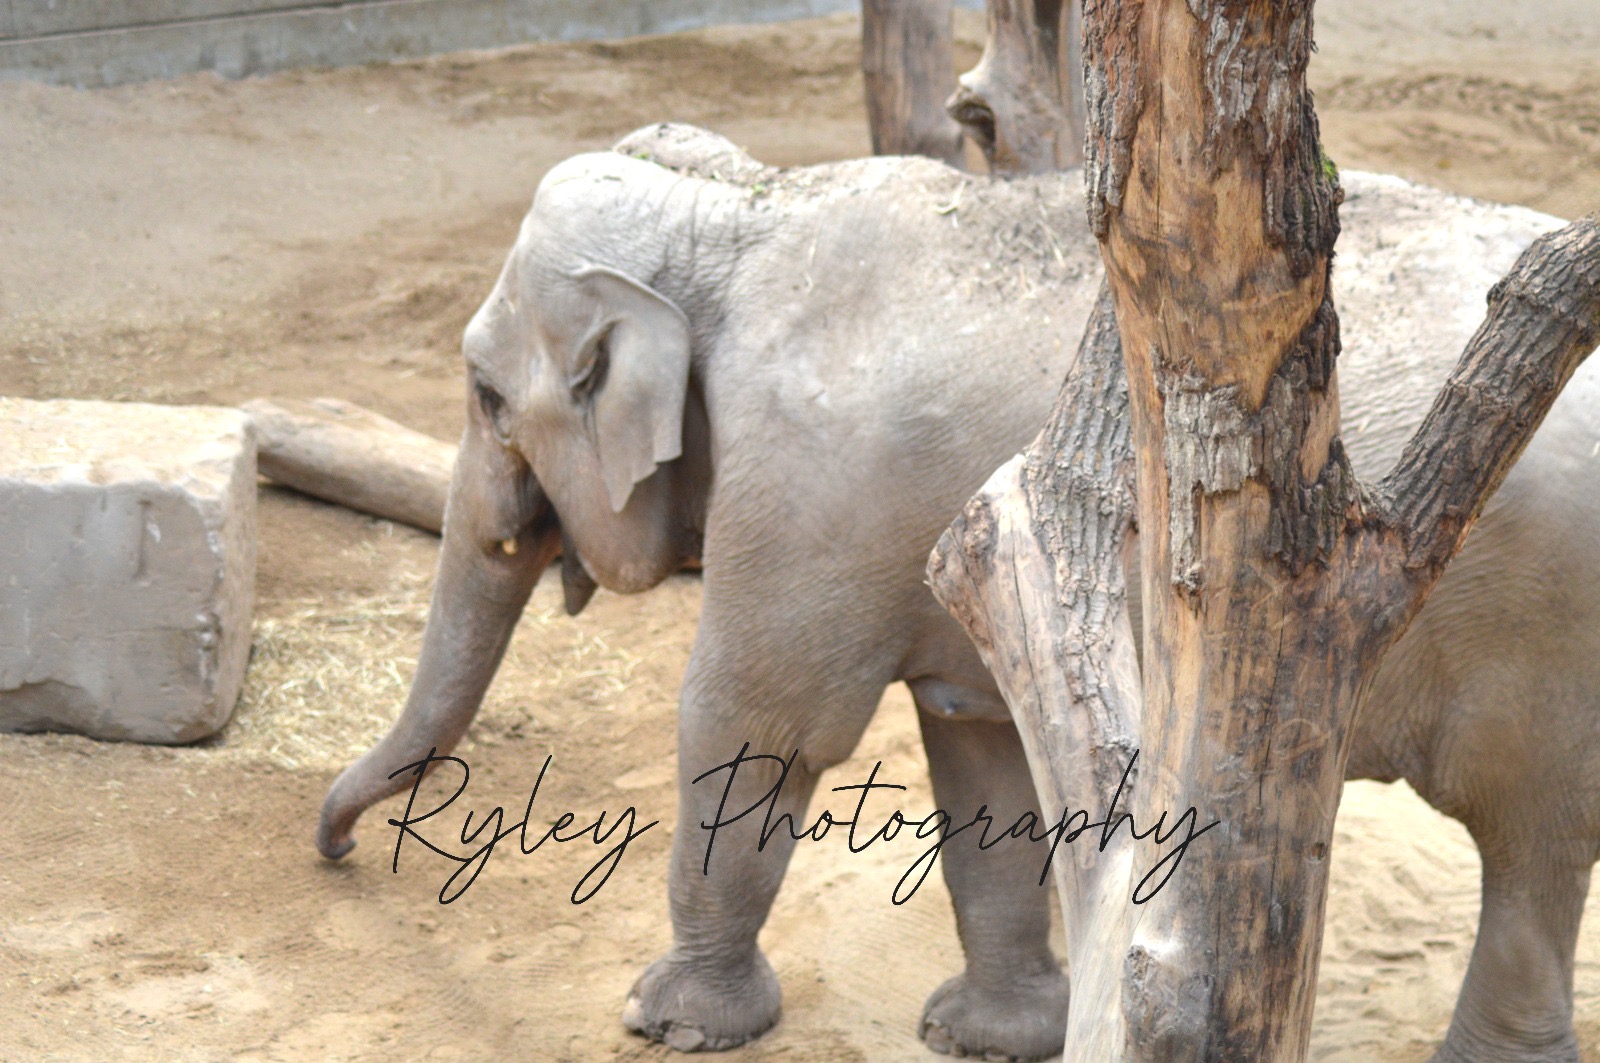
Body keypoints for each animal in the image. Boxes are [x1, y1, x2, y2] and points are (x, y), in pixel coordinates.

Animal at [316, 123, 1600, 1063]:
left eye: (486, 395)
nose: (335, 850)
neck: (744, 213)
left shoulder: (799, 489)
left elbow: (758, 723)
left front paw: (669, 1023)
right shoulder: (980, 552)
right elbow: (977, 743)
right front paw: (989, 1037)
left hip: (1547, 639)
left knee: (1532, 845)